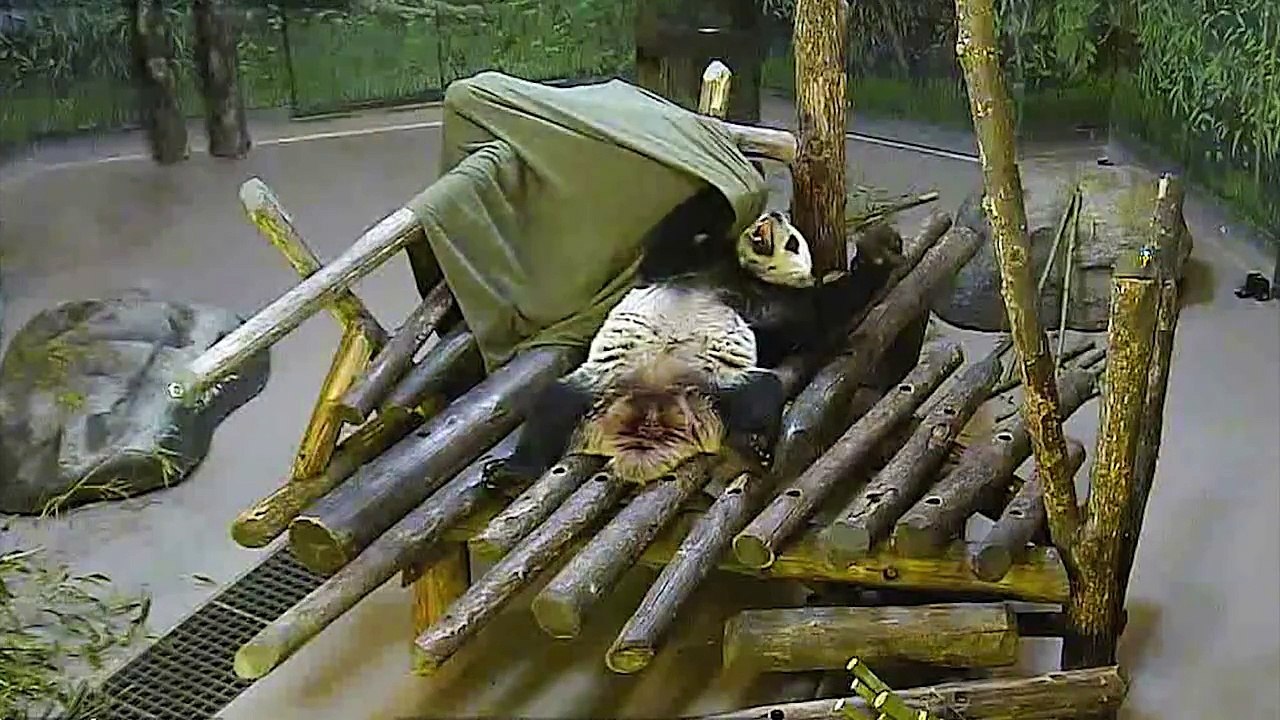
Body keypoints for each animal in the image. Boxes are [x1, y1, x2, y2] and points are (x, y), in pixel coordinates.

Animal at [484, 184, 894, 487]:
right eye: (778, 224)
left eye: (793, 242)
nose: (775, 216)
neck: (742, 273)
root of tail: (651, 417)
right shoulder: (691, 264)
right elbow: (669, 243)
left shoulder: (778, 303)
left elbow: (818, 317)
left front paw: (879, 253)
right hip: (599, 387)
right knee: (552, 406)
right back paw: (512, 471)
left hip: (716, 387)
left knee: (760, 394)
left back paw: (752, 447)